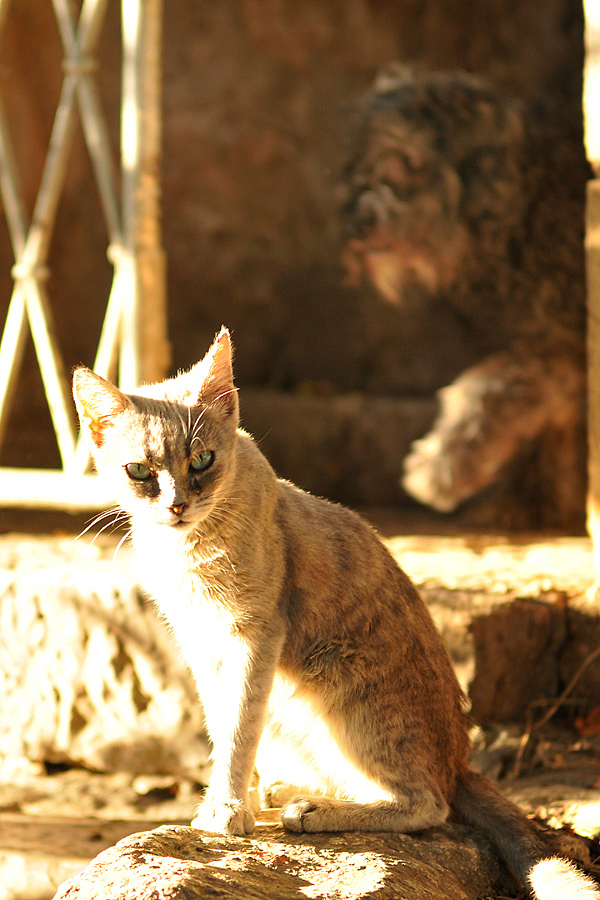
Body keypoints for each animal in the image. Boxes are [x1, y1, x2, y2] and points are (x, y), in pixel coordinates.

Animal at [72, 328, 596, 900]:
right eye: (140, 471)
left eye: (203, 460)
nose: (176, 505)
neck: (188, 550)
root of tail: (460, 762)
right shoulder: (202, 644)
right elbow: (222, 724)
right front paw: (237, 800)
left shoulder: (253, 636)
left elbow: (238, 730)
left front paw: (226, 809)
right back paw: (289, 792)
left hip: (340, 687)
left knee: (427, 804)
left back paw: (312, 810)